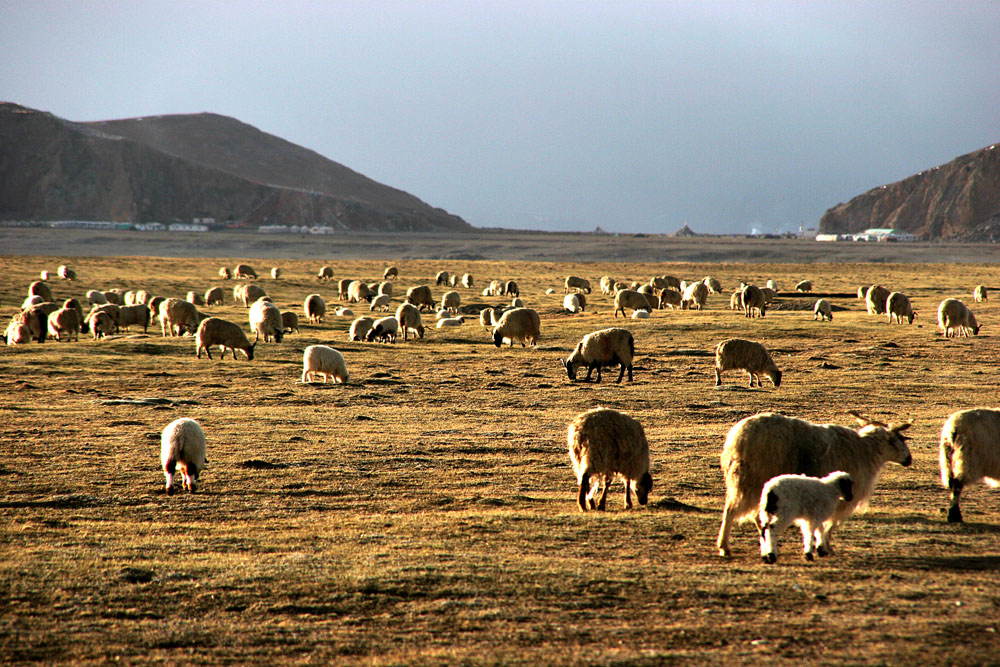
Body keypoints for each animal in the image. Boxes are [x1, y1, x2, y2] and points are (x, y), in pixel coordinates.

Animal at [720, 412, 916, 560]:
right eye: (901, 438)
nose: (909, 459)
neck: (867, 450)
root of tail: (736, 440)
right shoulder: (841, 497)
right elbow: (830, 523)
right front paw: (826, 546)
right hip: (752, 480)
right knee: (732, 511)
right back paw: (725, 547)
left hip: (748, 483)